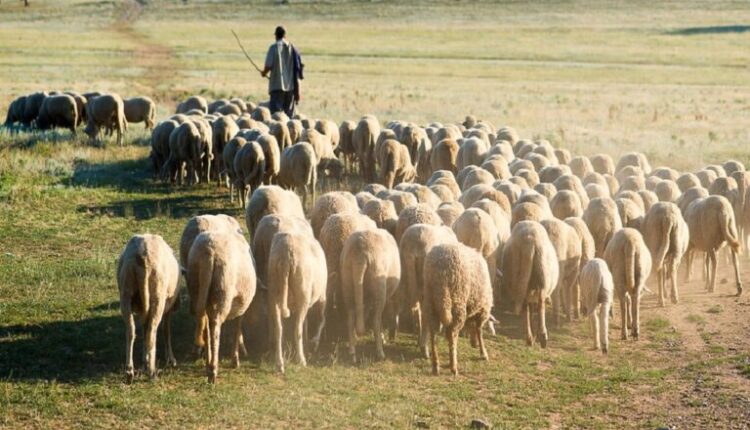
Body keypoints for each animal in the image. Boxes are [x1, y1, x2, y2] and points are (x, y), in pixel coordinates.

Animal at [117, 234, 180, 383]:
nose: (178, 306)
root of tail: (142, 257)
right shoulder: (167, 309)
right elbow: (166, 331)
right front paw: (171, 359)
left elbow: (144, 330)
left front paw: (144, 359)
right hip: (158, 297)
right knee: (152, 332)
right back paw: (152, 371)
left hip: (126, 293)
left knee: (131, 331)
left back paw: (129, 371)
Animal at [186, 230, 256, 383]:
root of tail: (209, 252)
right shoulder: (241, 304)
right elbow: (237, 328)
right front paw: (235, 359)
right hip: (223, 291)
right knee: (215, 327)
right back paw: (213, 370)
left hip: (196, 286)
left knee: (205, 325)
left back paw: (208, 364)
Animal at [267, 232, 327, 373]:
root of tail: (287, 252)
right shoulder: (322, 296)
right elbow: (322, 319)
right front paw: (314, 342)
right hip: (303, 293)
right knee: (297, 330)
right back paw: (301, 359)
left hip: (274, 291)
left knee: (279, 329)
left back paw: (279, 363)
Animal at [340, 228, 401, 361]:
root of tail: (360, 252)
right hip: (379, 284)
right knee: (375, 320)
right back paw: (380, 352)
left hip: (347, 282)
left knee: (350, 318)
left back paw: (352, 351)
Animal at [423, 242, 492, 375]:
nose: (474, 344)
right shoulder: (483, 310)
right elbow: (479, 330)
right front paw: (483, 353)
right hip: (457, 300)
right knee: (452, 334)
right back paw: (453, 366)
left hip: (430, 301)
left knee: (433, 333)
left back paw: (436, 365)